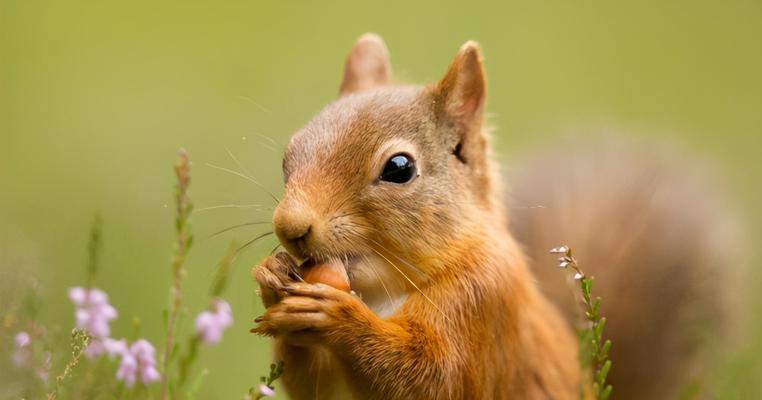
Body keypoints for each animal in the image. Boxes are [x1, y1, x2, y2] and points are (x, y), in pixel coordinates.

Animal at [251, 32, 736, 398]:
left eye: (399, 168)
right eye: (290, 152)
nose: (290, 226)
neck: (384, 290)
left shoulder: (482, 301)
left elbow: (430, 378)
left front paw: (337, 315)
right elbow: (313, 386)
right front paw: (273, 280)